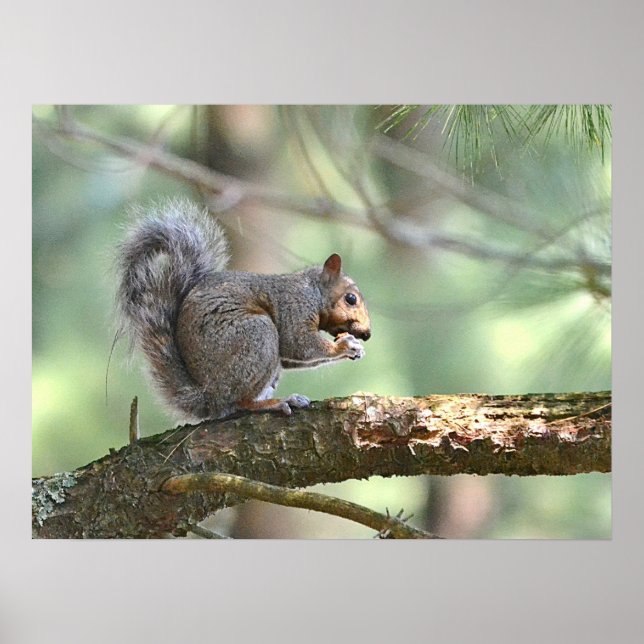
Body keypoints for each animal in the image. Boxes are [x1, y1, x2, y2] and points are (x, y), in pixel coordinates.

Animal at [115, 198, 371, 421]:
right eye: (350, 299)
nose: (367, 334)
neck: (313, 291)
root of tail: (209, 396)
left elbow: (292, 356)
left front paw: (355, 349)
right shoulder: (294, 307)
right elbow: (298, 343)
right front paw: (344, 346)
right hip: (257, 336)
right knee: (240, 403)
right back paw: (275, 403)